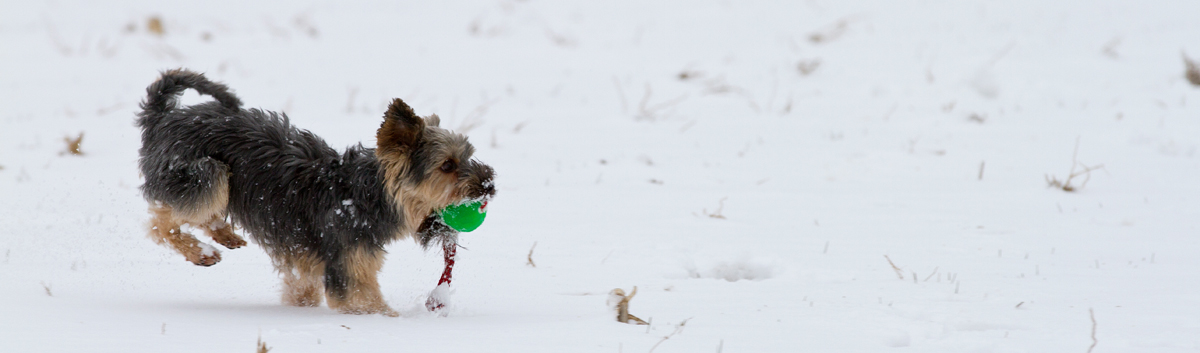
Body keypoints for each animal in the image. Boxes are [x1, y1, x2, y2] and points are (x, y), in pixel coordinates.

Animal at [138, 67, 494, 314]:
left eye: (469, 154)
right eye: (447, 165)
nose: (489, 184)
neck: (365, 195)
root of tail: (161, 116)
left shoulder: (312, 270)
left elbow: (304, 294)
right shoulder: (348, 269)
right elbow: (368, 304)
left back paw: (225, 236)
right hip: (206, 173)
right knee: (160, 222)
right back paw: (200, 251)